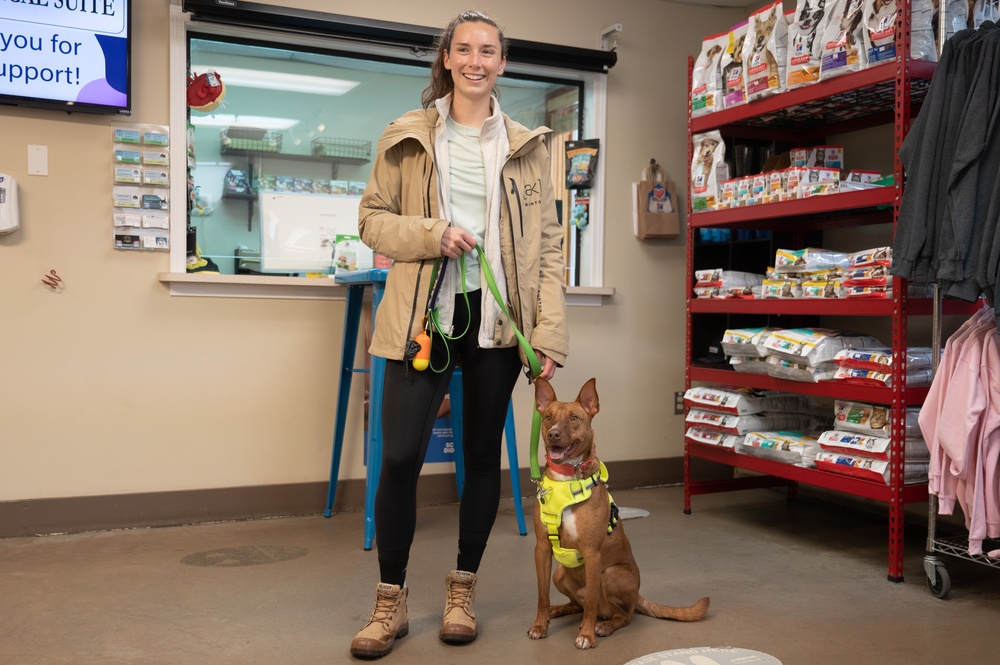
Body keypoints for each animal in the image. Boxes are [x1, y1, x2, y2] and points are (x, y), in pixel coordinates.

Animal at [528, 378, 708, 648]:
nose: (553, 434)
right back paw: (557, 610)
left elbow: (591, 603)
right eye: (548, 417)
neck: (567, 480)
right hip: (559, 574)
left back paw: (604, 626)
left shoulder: (592, 553)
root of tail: (639, 595)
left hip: (610, 573)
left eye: (574, 418)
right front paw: (540, 625)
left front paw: (586, 635)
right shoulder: (541, 548)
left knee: (621, 614)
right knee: (577, 604)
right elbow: (541, 595)